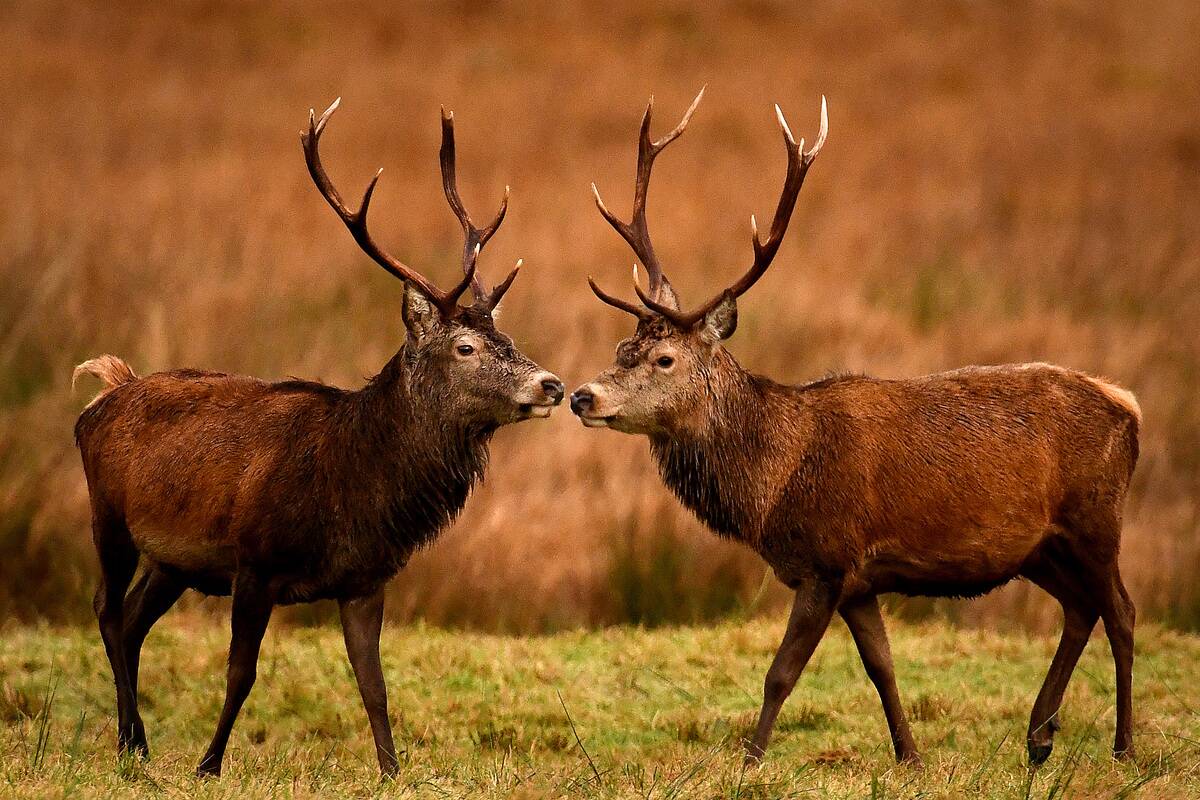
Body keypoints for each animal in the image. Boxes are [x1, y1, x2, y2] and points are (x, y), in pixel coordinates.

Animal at [72, 98, 564, 778]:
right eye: (465, 347)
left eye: (508, 341)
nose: (552, 384)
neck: (348, 489)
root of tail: (104, 393)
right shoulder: (254, 561)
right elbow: (241, 674)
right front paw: (209, 764)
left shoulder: (365, 579)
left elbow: (373, 684)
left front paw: (392, 772)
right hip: (109, 517)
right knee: (106, 608)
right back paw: (132, 742)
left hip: (173, 560)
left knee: (133, 622)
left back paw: (134, 741)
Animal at [569, 89, 1140, 767]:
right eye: (620, 346)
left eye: (664, 359)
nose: (581, 395)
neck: (773, 484)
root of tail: (1128, 406)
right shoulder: (860, 581)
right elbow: (881, 667)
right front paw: (910, 757)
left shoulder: (827, 560)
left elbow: (781, 673)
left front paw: (750, 762)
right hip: (1040, 547)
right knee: (1080, 608)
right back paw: (1039, 735)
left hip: (1096, 517)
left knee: (1122, 612)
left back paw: (1123, 746)